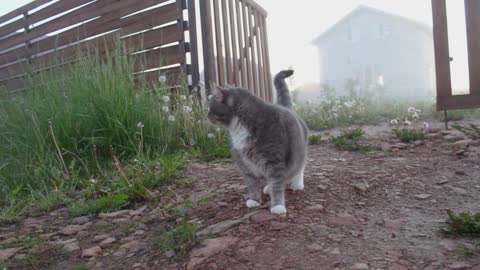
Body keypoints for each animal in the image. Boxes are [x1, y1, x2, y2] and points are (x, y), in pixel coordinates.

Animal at [208, 70, 310, 215]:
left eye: (210, 107)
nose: (207, 116)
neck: (239, 127)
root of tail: (284, 106)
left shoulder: (275, 162)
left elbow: (277, 185)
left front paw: (278, 206)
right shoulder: (245, 164)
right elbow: (253, 184)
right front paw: (254, 200)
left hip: (300, 151)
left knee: (299, 166)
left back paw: (297, 184)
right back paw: (268, 187)